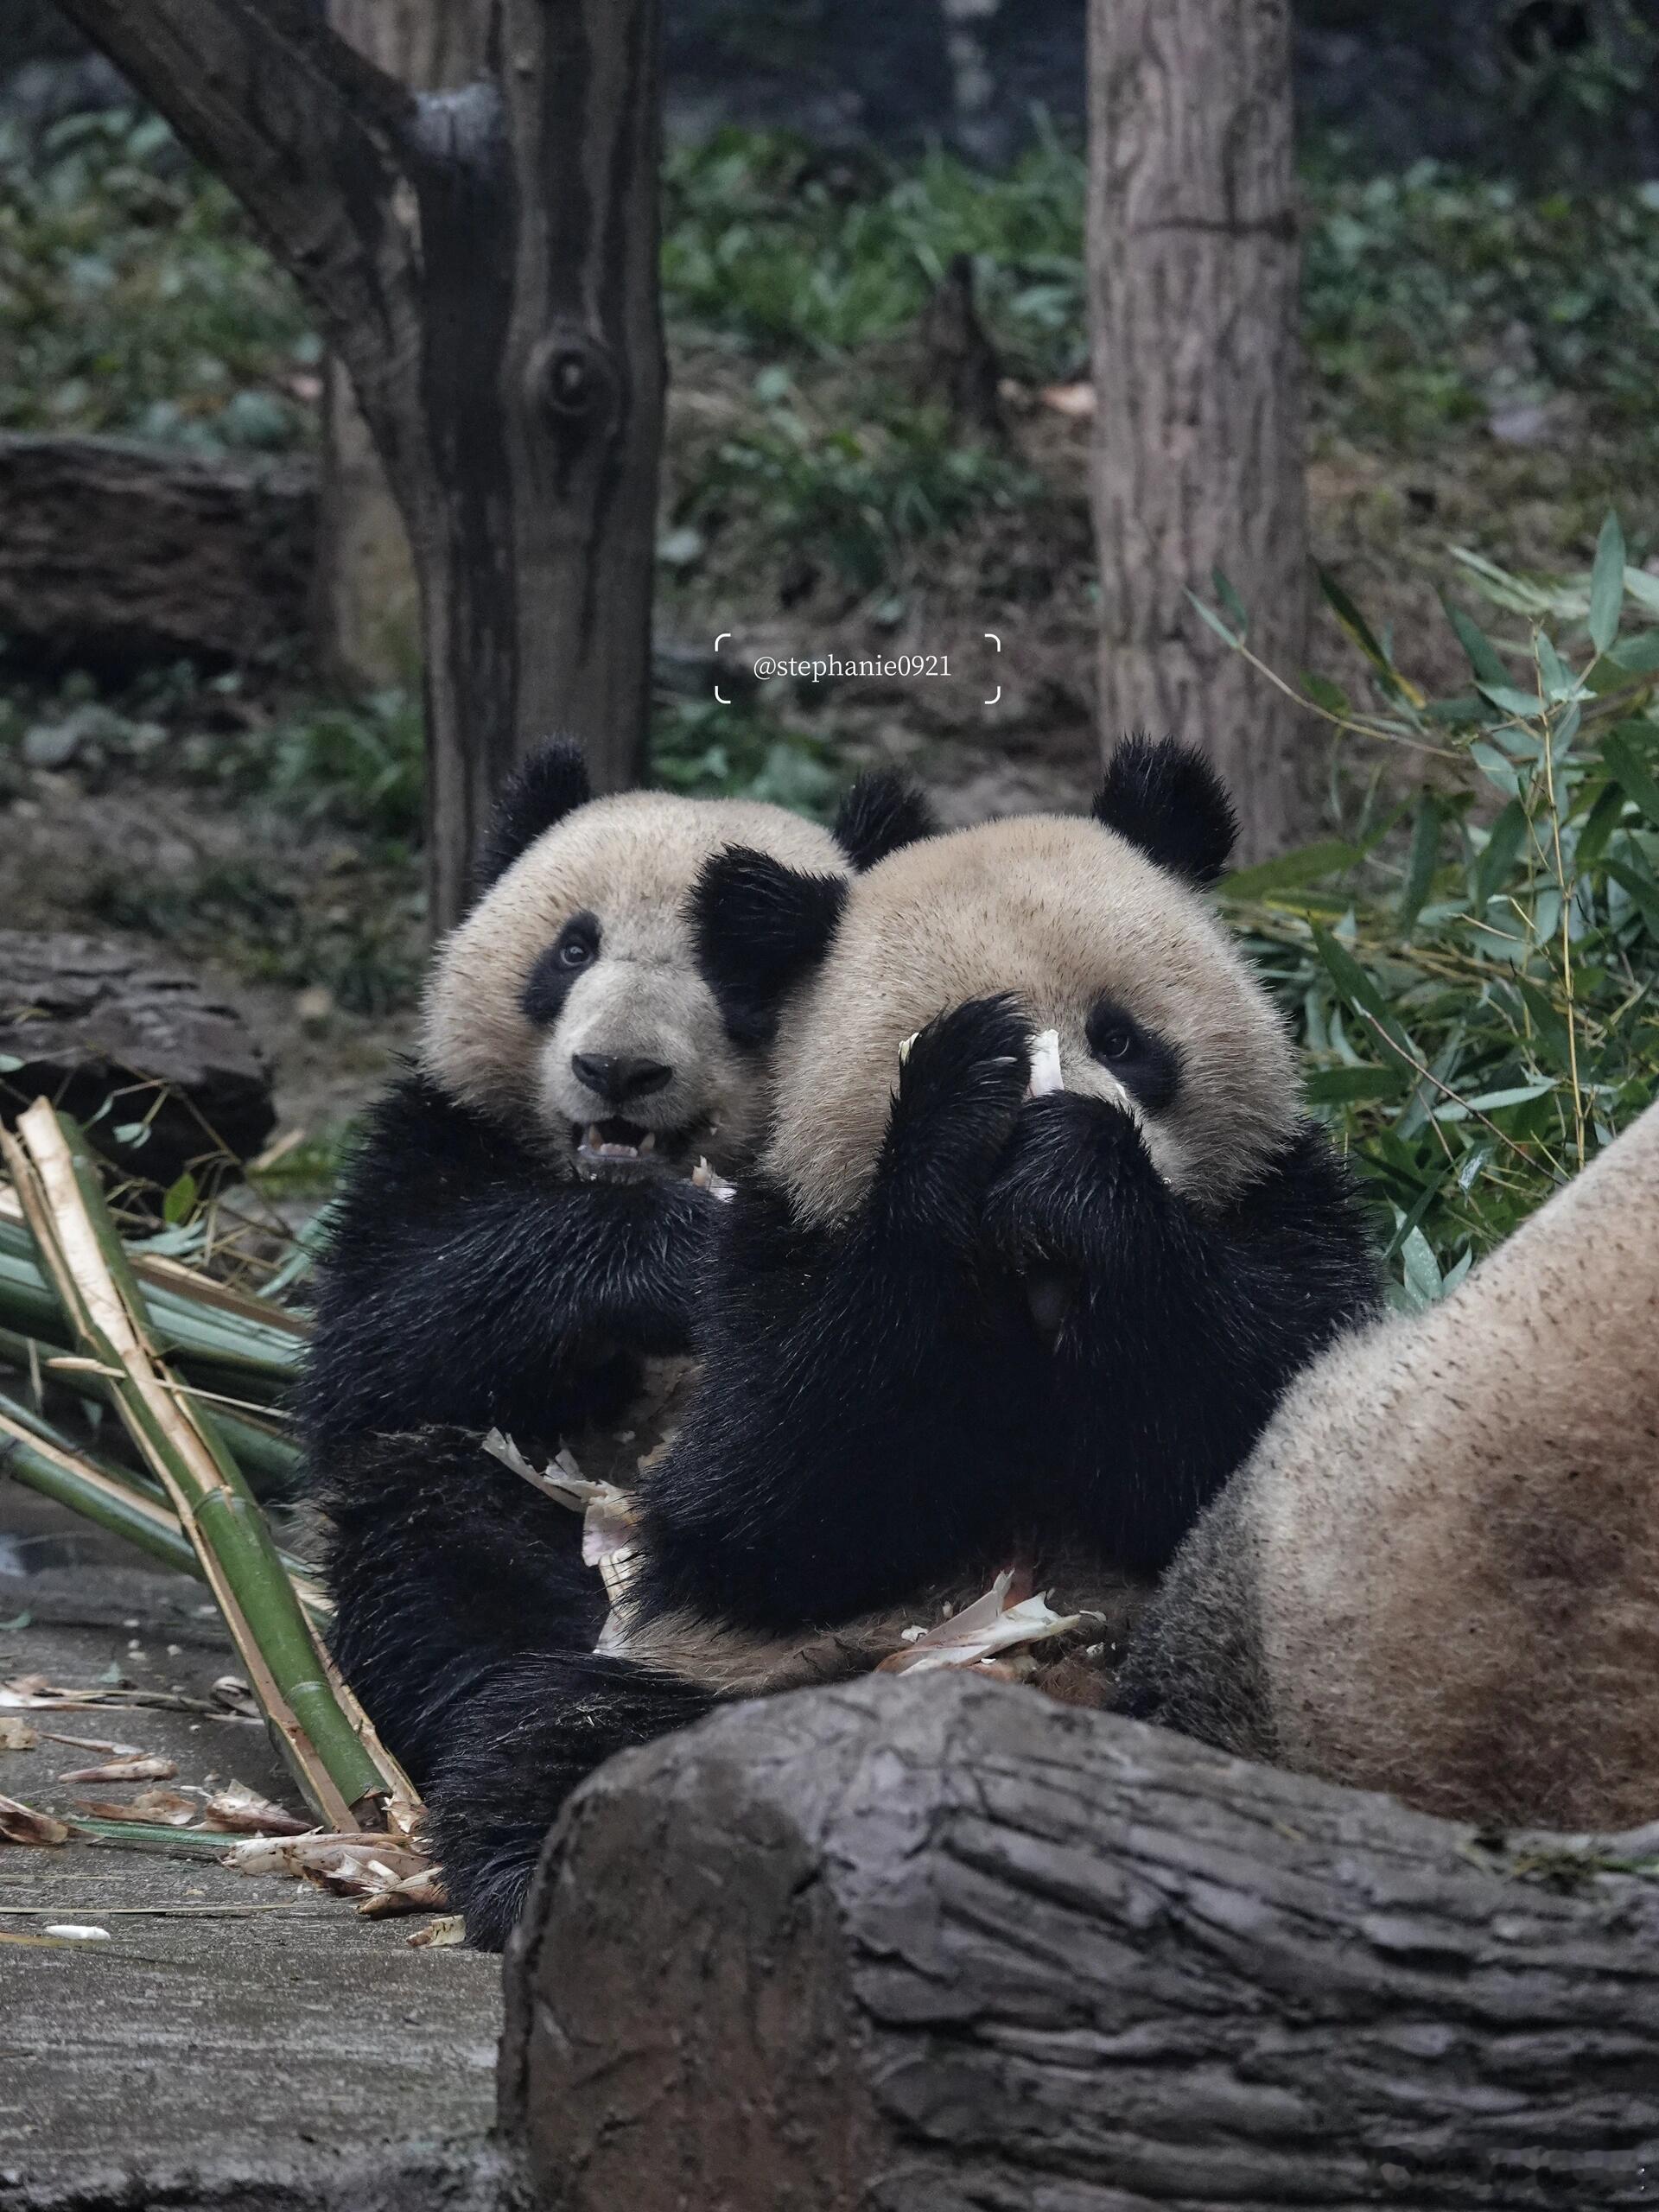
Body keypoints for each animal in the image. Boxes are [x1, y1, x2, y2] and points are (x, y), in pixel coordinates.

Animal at [302, 743, 938, 1778]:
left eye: (736, 968)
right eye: (572, 950)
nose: (618, 1071)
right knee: (441, 1544)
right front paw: (676, 1256)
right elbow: (383, 1337)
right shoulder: (442, 1142)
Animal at [422, 743, 1380, 1955]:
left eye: (1123, 1038)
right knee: (542, 1740)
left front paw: (1082, 1171)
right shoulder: (775, 1257)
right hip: (738, 1681)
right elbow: (774, 1495)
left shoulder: (1283, 1209)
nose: (1034, 1170)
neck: (1033, 1314)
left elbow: (1243, 1411)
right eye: (930, 1053)